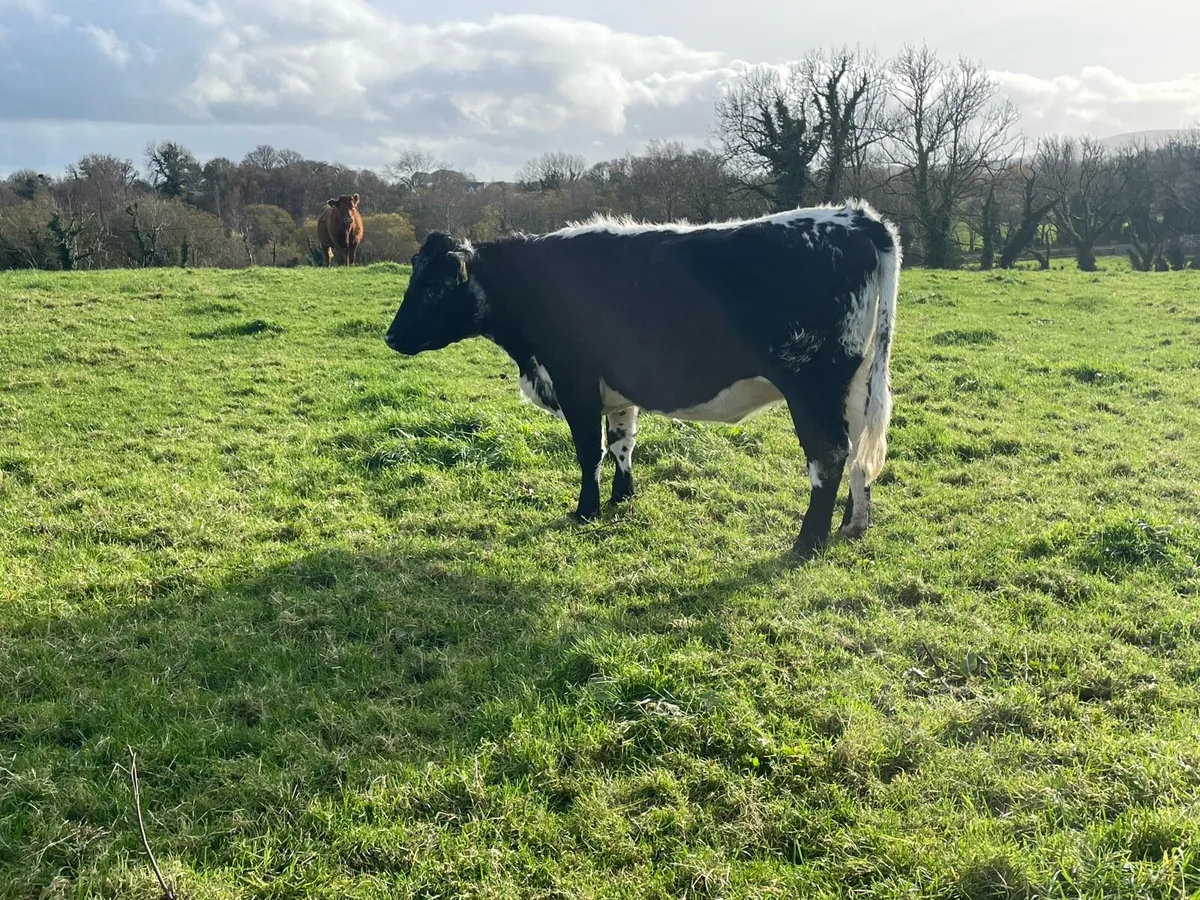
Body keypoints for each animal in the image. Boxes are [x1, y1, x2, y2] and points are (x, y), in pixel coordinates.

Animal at [384, 199, 902, 561]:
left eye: (433, 284)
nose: (390, 336)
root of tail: (854, 217)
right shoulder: (616, 390)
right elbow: (621, 443)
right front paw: (622, 497)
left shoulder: (575, 380)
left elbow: (588, 450)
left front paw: (586, 510)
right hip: (855, 385)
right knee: (858, 452)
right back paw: (853, 525)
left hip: (811, 385)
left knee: (827, 455)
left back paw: (807, 543)